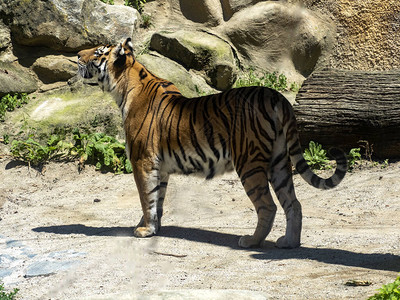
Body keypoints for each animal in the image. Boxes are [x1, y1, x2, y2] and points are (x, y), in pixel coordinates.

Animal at [78, 37, 346, 248]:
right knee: (294, 203)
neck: (124, 85)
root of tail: (276, 96)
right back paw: (289, 242)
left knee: (268, 206)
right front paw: (152, 226)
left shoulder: (142, 160)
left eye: (98, 52)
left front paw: (145, 230)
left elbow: (147, 198)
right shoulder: (159, 167)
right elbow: (157, 199)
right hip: (279, 162)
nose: (77, 56)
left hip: (249, 163)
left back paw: (251, 241)